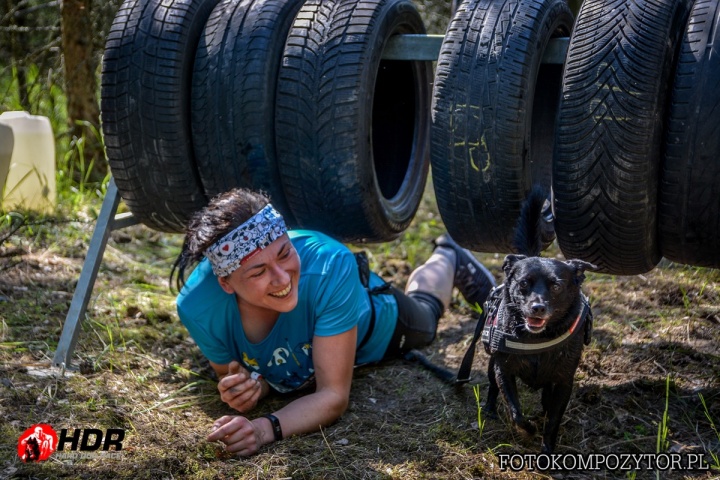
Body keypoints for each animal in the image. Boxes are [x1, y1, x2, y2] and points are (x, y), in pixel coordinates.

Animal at [478, 188, 596, 454]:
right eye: (523, 283)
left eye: (556, 286)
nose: (538, 307)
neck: (536, 339)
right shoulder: (503, 371)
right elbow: (515, 411)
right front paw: (528, 430)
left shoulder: (563, 382)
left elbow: (553, 420)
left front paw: (547, 449)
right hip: (492, 365)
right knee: (492, 387)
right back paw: (489, 409)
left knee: (546, 398)